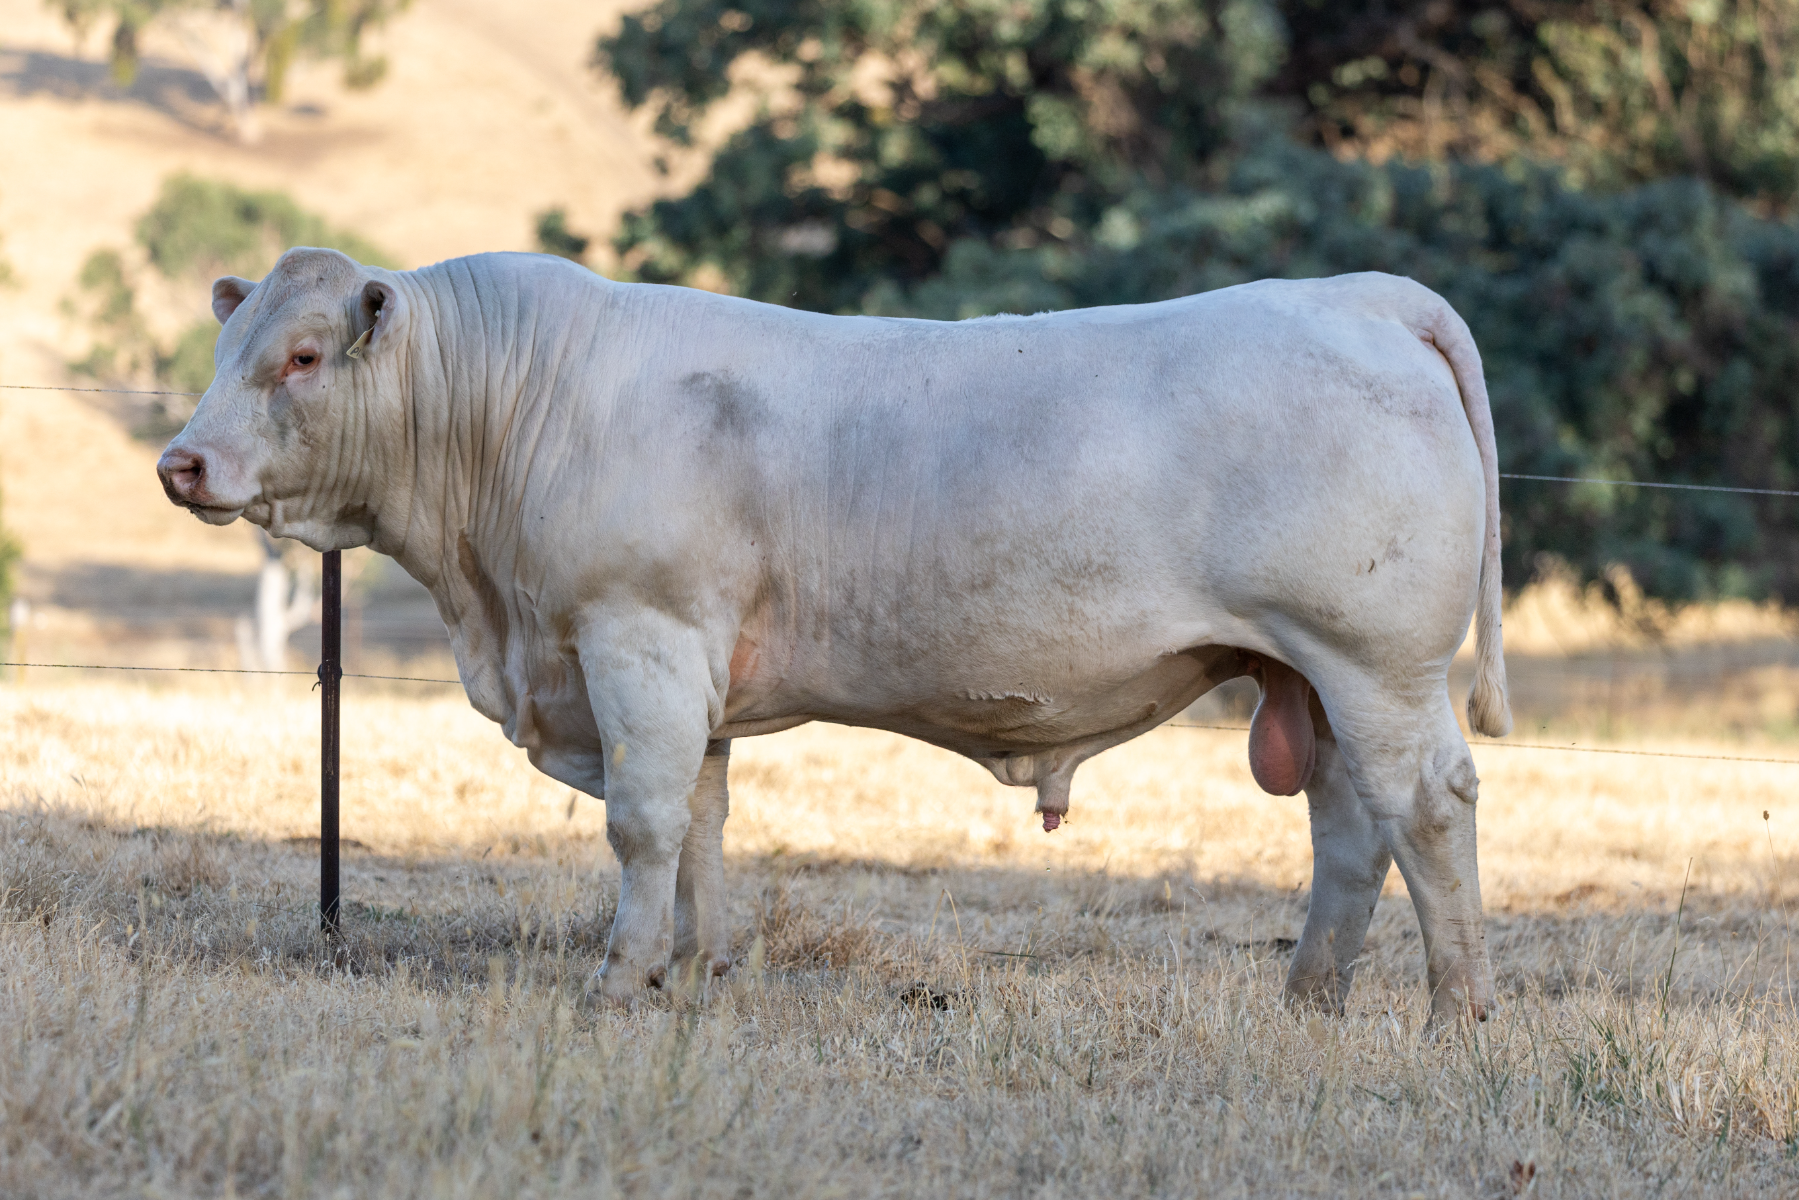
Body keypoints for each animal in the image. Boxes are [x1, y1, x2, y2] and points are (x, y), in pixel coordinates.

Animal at [158, 248, 1511, 1021]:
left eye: (302, 356)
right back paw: (1308, 999)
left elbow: (640, 822)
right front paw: (694, 972)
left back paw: (1453, 1013)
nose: (182, 462)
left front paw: (617, 979)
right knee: (1348, 829)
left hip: (1375, 660)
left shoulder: (635, 637)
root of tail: (1356, 295)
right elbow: (699, 823)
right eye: (227, 345)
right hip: (1306, 678)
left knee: (1427, 805)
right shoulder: (689, 671)